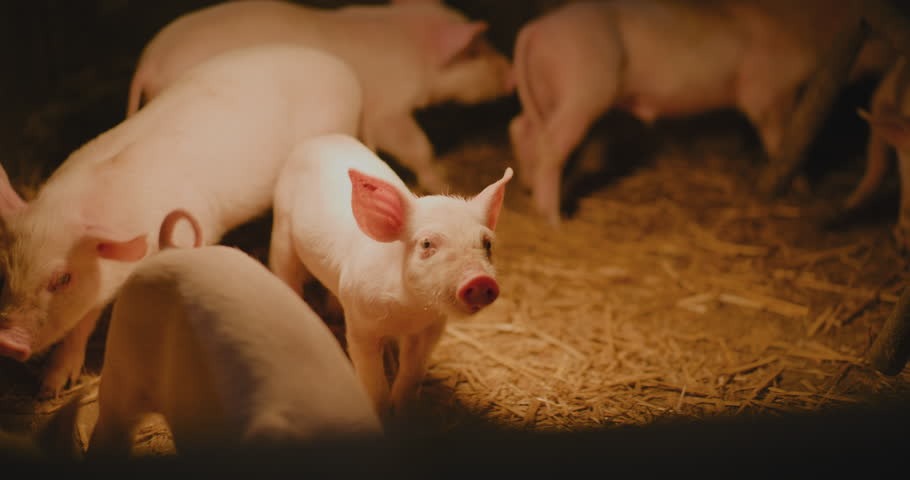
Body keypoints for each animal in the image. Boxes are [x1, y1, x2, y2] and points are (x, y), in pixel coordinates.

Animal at [0, 44, 362, 397]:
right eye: (4, 270)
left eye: (63, 278)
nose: (7, 342)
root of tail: (342, 68)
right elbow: (83, 320)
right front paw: (50, 389)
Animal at [126, 0, 514, 194]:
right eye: (476, 51)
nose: (511, 74)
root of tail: (150, 60)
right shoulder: (388, 110)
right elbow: (417, 147)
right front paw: (443, 182)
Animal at [268, 133, 512, 419]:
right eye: (426, 244)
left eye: (487, 243)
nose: (480, 280)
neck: (410, 311)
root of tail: (321, 137)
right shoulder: (360, 324)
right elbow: (372, 377)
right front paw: (382, 415)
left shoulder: (433, 327)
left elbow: (412, 371)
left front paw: (405, 411)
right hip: (282, 225)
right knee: (284, 269)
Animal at [508, 0, 893, 225]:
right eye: (882, 27)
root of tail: (535, 28)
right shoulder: (767, 88)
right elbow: (780, 135)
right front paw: (802, 190)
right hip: (583, 85)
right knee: (550, 141)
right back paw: (555, 219)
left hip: (546, 89)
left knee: (521, 126)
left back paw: (527, 189)